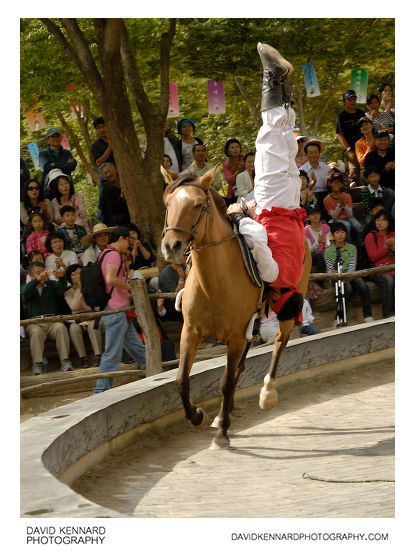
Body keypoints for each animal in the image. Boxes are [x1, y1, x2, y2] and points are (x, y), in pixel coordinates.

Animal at [161, 166, 310, 450]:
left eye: (198, 204)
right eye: (168, 204)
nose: (171, 246)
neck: (214, 280)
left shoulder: (235, 338)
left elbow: (226, 383)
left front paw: (222, 434)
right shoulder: (191, 332)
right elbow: (181, 381)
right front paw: (197, 416)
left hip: (288, 306)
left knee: (280, 341)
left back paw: (267, 393)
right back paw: (222, 414)